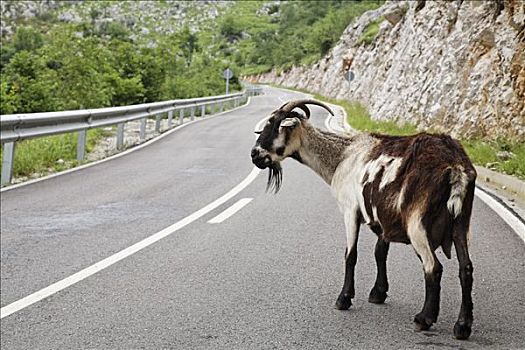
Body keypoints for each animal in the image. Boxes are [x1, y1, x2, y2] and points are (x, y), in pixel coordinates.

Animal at [250, 100, 474, 340]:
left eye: (276, 127)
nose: (254, 155)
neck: (343, 157)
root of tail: (456, 167)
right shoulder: (382, 219)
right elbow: (379, 252)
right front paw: (378, 293)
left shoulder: (350, 210)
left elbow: (351, 255)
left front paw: (343, 299)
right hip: (461, 221)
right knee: (466, 269)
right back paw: (462, 326)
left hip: (417, 224)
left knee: (433, 267)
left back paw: (424, 319)